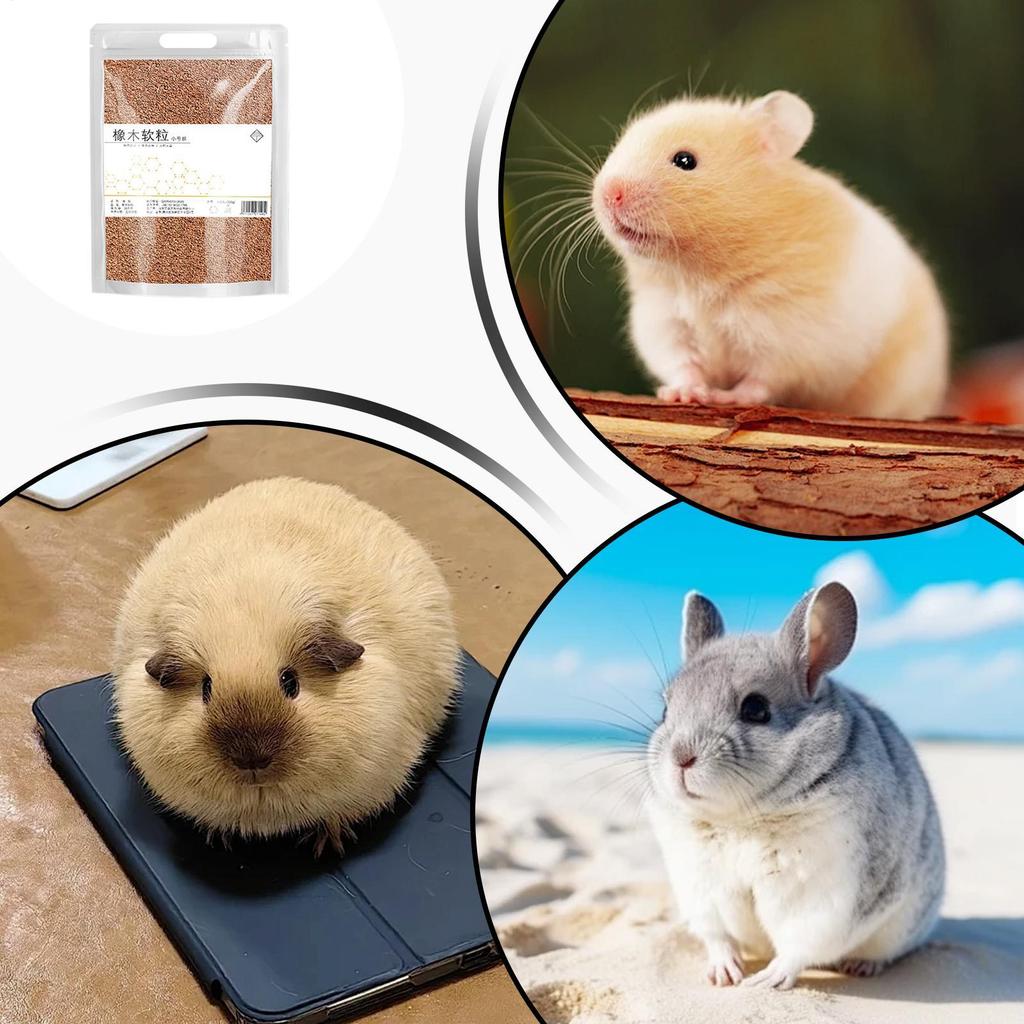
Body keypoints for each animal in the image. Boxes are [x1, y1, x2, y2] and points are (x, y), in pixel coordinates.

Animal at [645, 581, 944, 989]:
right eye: (665, 711)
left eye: (756, 709)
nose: (681, 758)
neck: (738, 819)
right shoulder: (698, 884)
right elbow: (717, 936)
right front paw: (724, 974)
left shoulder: (823, 894)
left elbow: (798, 947)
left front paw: (765, 981)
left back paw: (862, 965)